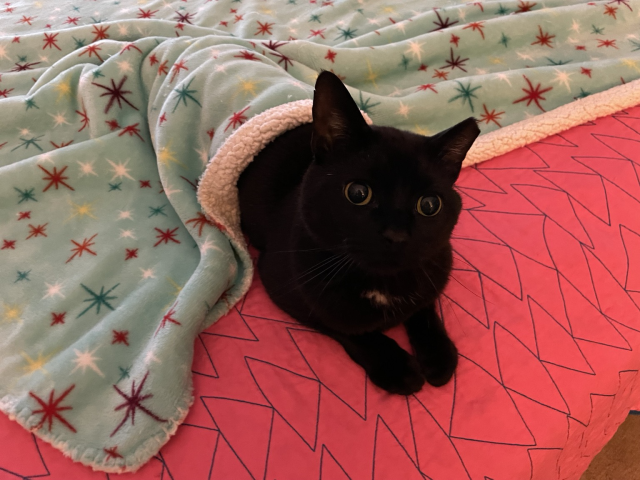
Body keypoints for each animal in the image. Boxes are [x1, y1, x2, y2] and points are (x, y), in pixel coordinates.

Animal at [240, 71, 480, 394]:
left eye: (429, 205)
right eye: (357, 193)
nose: (396, 234)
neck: (383, 284)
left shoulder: (433, 269)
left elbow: (424, 308)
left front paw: (439, 355)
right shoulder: (283, 285)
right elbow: (346, 328)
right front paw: (397, 368)